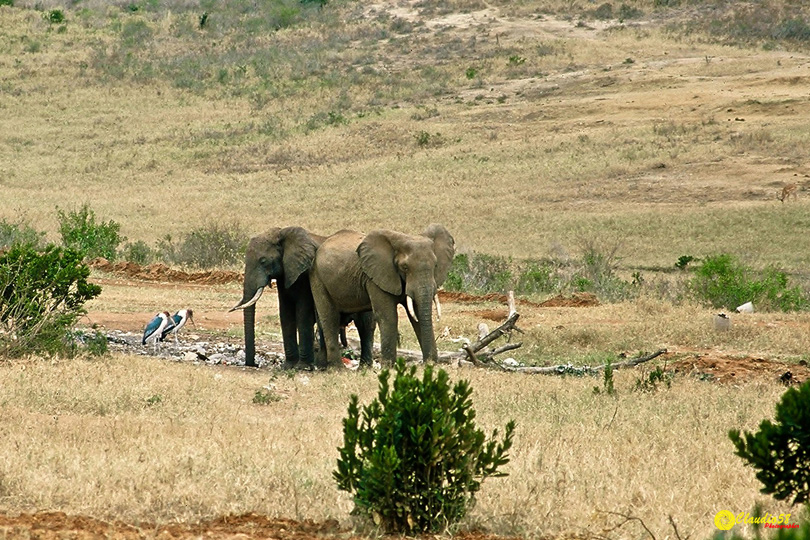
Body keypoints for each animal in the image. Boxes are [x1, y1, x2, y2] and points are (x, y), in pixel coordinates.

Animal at [230, 226, 376, 370]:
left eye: (263, 261)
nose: (253, 364)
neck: (282, 234)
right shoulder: (286, 275)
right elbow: (285, 313)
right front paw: (288, 366)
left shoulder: (305, 274)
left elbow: (303, 313)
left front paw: (302, 367)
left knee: (365, 326)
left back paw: (363, 367)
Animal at [308, 224, 452, 368]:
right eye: (405, 267)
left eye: (435, 265)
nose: (428, 363)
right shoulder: (375, 277)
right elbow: (388, 316)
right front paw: (389, 367)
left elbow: (416, 314)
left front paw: (430, 364)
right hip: (317, 277)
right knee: (329, 318)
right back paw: (337, 368)